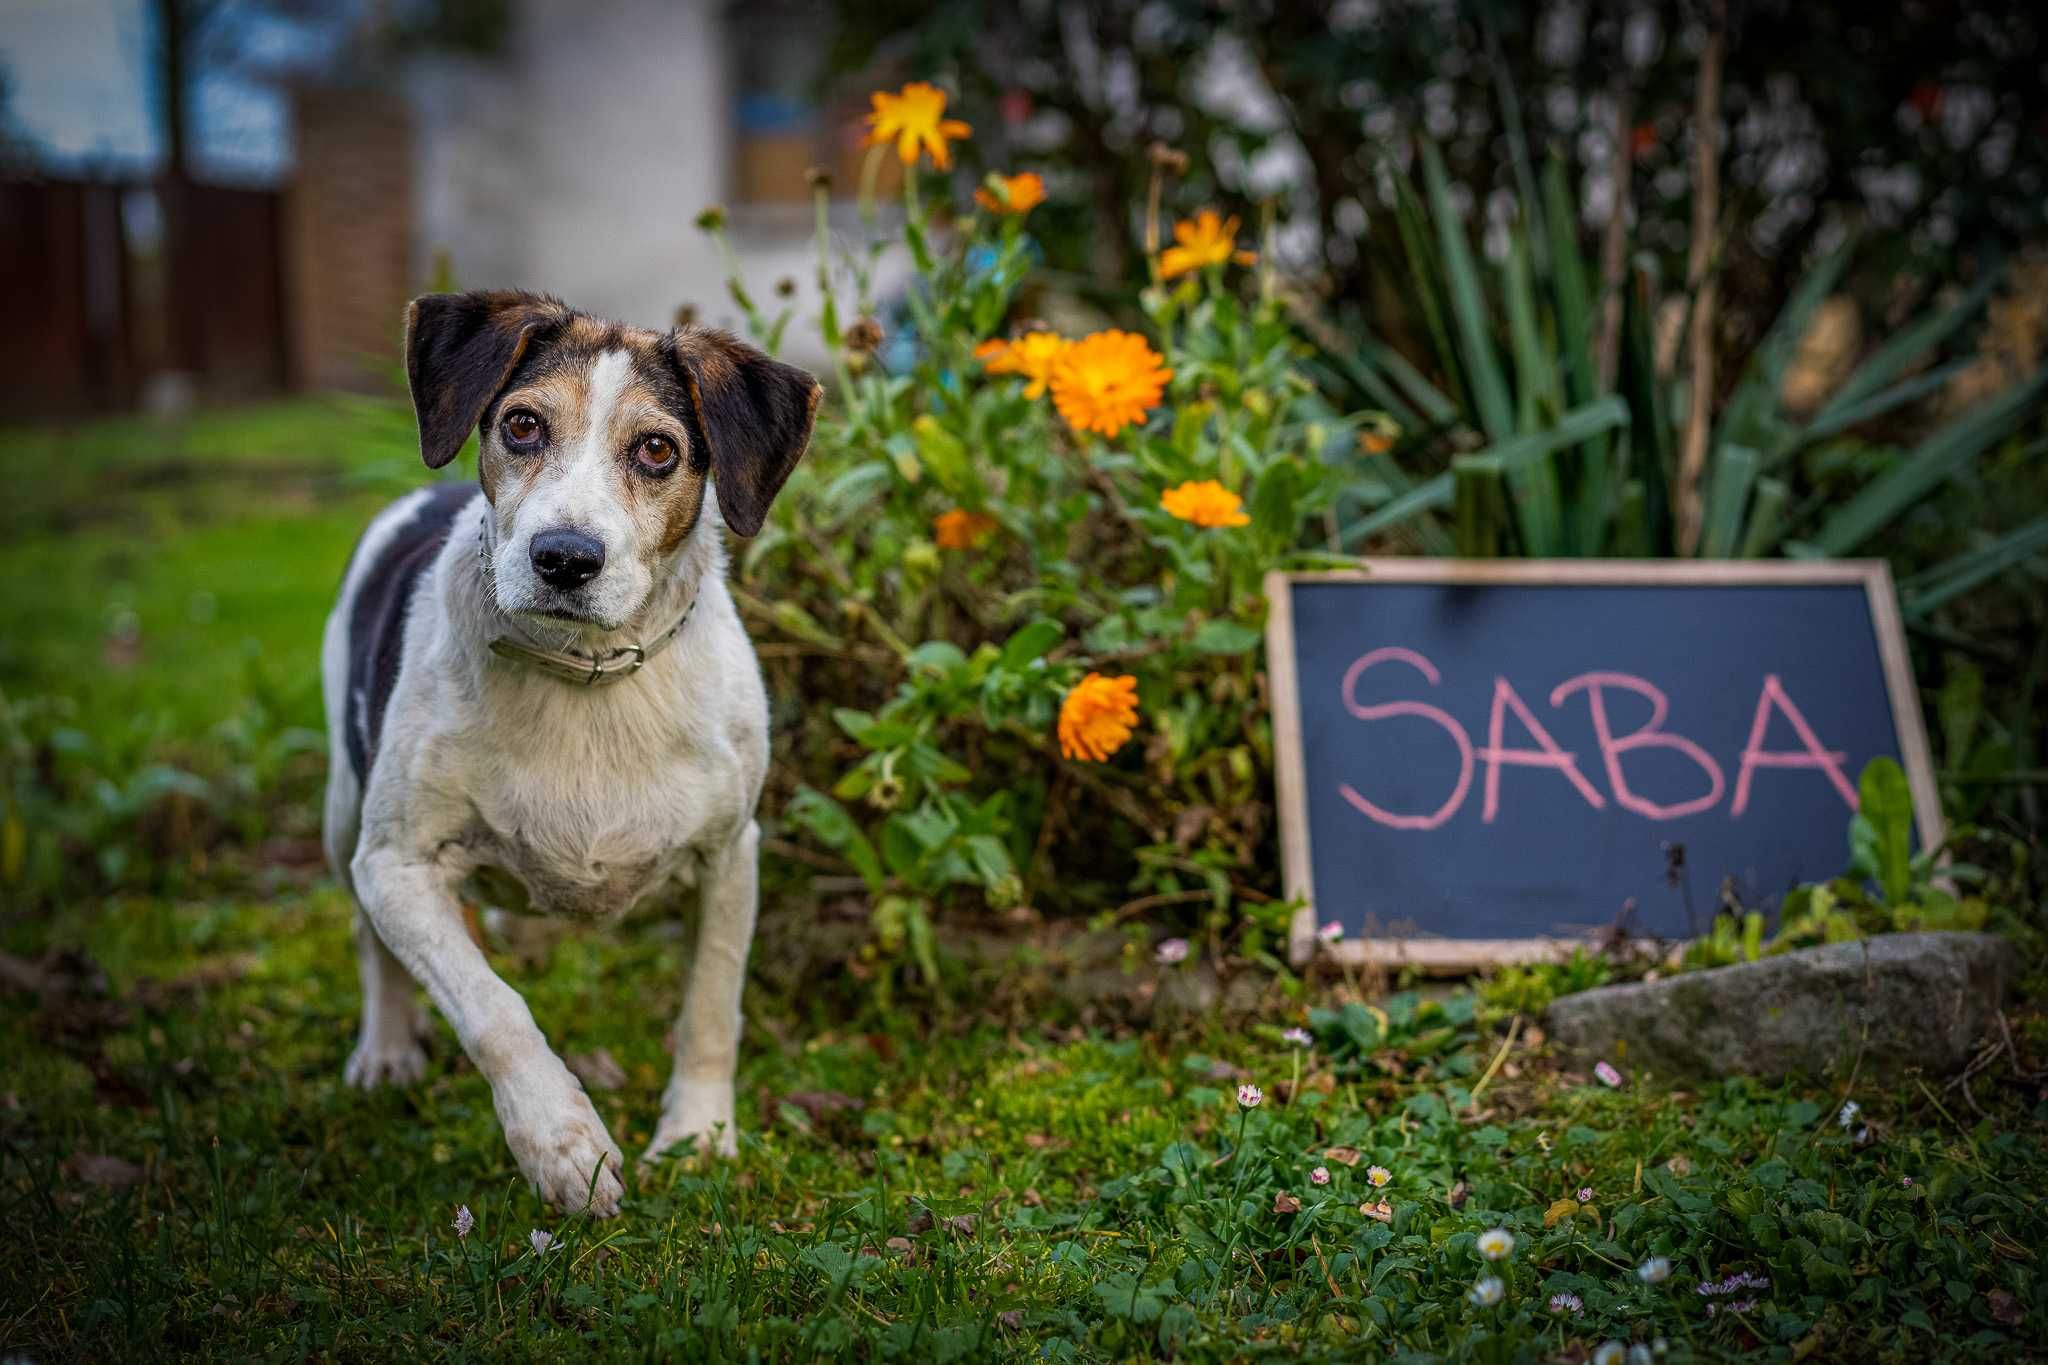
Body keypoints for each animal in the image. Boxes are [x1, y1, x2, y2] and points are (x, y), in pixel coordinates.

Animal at [319, 290, 815, 1219]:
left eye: (657, 449)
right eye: (522, 425)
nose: (564, 557)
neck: (586, 674)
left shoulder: (731, 854)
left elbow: (710, 1005)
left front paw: (697, 1136)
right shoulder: (397, 864)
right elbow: (493, 1007)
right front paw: (561, 1142)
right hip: (344, 813)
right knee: (373, 940)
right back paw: (389, 1045)